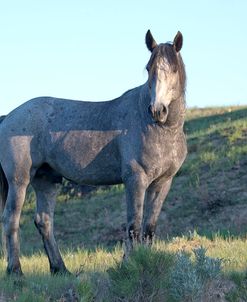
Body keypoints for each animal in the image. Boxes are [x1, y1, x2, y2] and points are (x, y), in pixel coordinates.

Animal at [0, 30, 186, 274]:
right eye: (148, 68)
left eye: (173, 69)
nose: (157, 110)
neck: (159, 128)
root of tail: (9, 116)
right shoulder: (135, 180)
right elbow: (133, 225)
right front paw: (130, 264)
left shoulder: (162, 182)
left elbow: (149, 228)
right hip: (19, 181)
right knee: (11, 220)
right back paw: (16, 271)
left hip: (46, 180)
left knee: (43, 221)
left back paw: (60, 269)